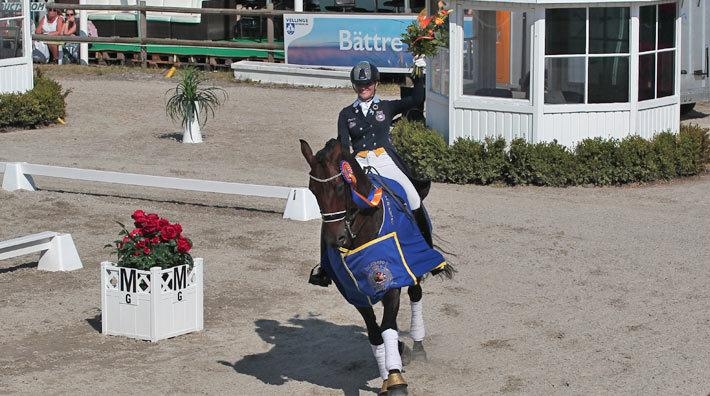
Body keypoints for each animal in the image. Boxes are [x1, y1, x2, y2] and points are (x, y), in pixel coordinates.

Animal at [302, 138, 456, 394]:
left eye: (340, 187)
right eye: (313, 190)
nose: (335, 240)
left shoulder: (390, 278)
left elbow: (388, 327)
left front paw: (394, 379)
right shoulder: (354, 291)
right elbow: (375, 333)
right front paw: (388, 371)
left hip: (415, 267)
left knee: (415, 294)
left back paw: (418, 346)